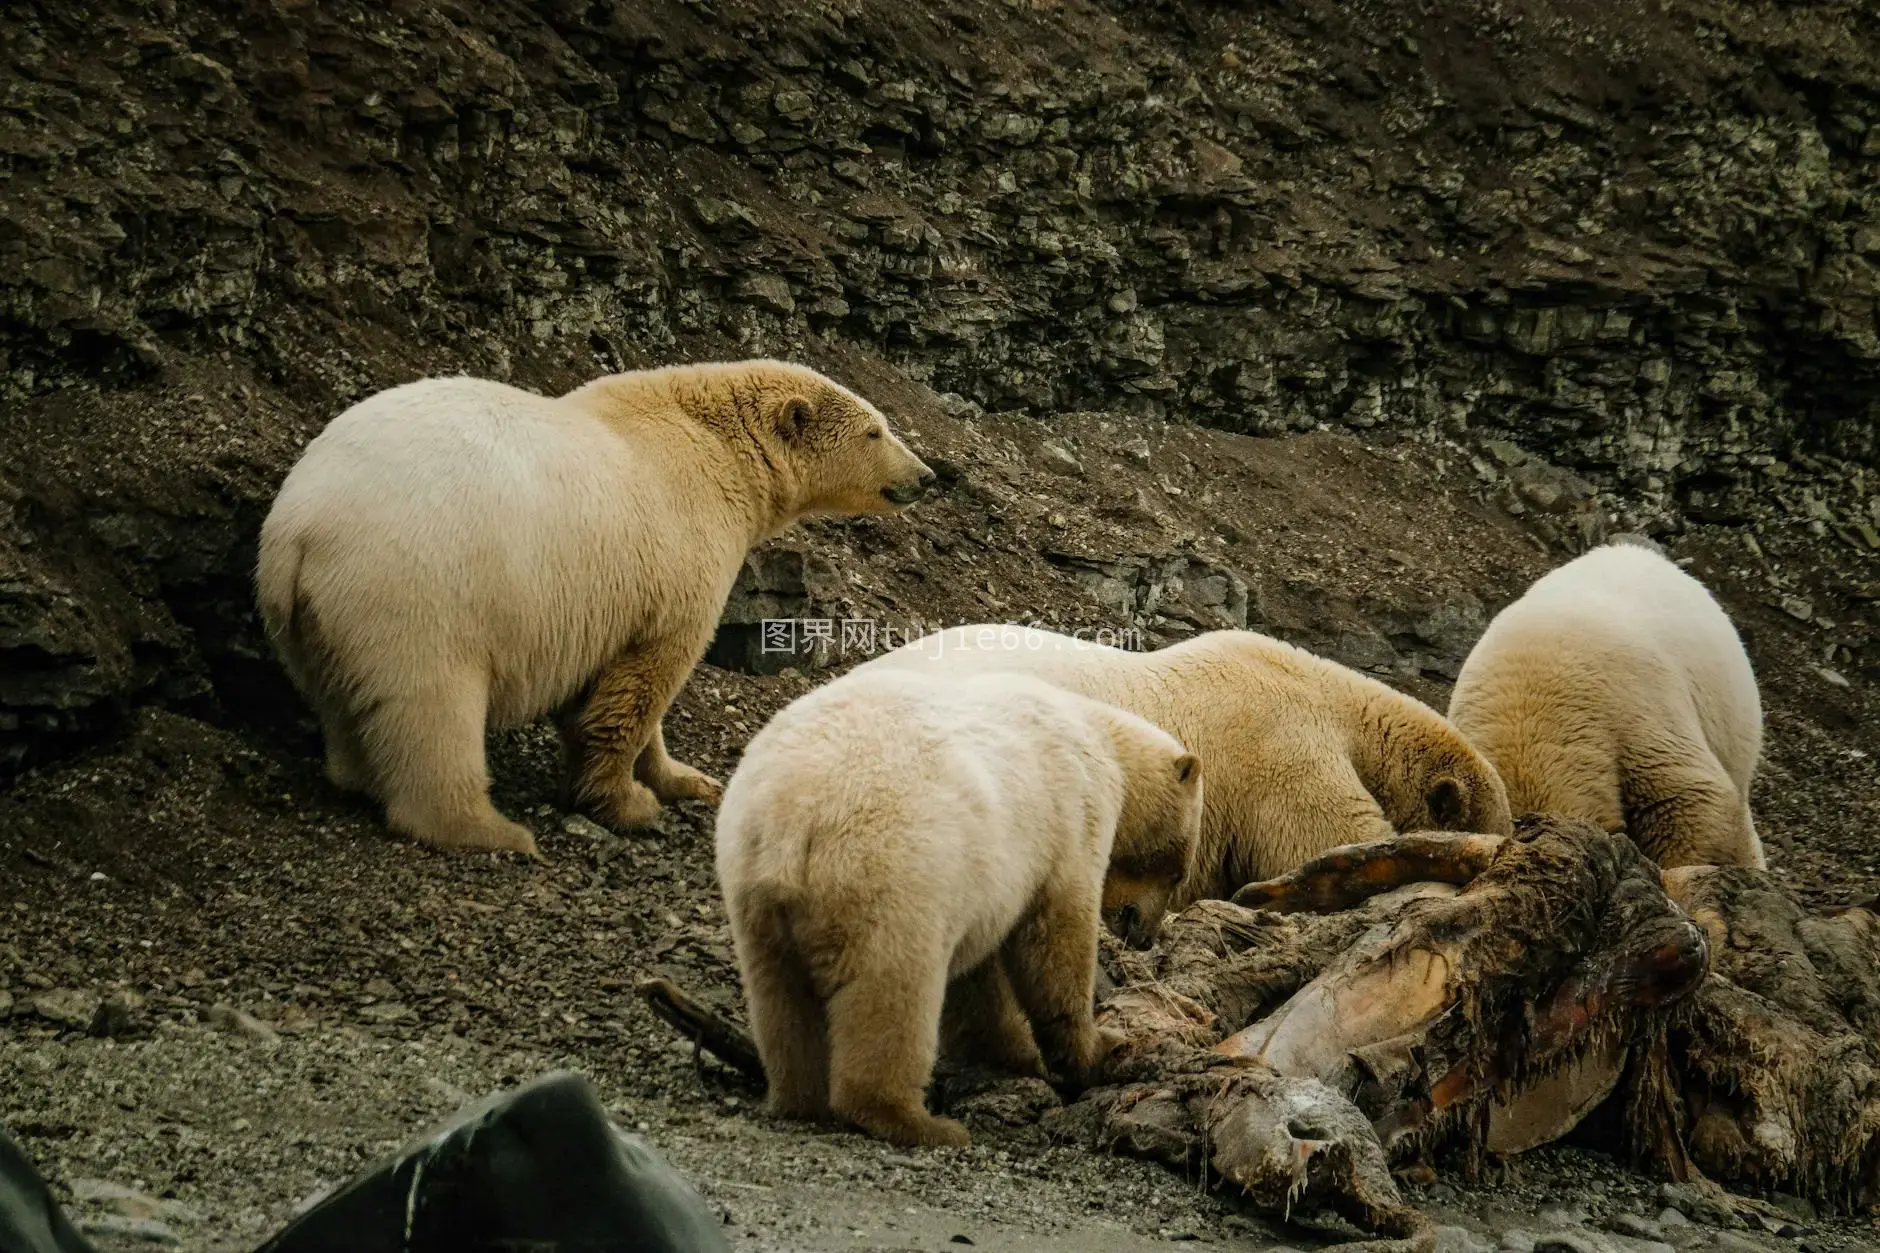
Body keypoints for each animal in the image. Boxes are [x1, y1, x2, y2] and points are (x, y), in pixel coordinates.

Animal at [257, 355, 932, 854]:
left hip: (314, 616)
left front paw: (687, 779)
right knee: (432, 706)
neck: (715, 444)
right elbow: (642, 684)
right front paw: (626, 803)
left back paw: (353, 773)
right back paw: (491, 830)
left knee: (341, 694)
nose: (927, 476)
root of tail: (300, 529)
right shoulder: (675, 554)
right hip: (418, 588)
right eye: (876, 430)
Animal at [718, 669, 1203, 1143]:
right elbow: (1055, 939)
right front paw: (1100, 1047)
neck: (1103, 741)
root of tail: (794, 816)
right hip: (892, 873)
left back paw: (801, 1097)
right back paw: (917, 1122)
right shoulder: (1071, 818)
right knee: (892, 991)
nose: (1146, 936)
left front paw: (1011, 1051)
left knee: (779, 995)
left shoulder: (987, 882)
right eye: (1178, 872)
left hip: (752, 886)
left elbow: (980, 978)